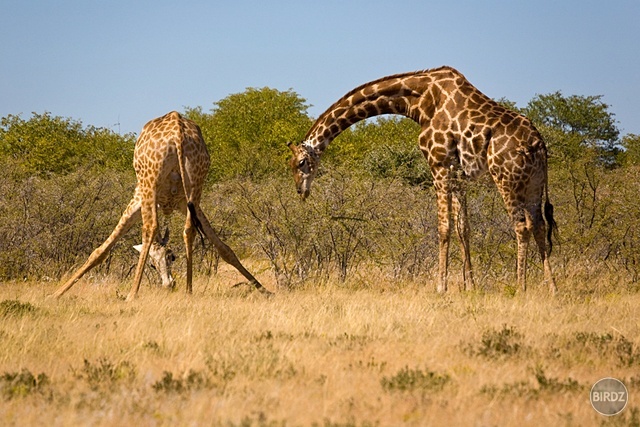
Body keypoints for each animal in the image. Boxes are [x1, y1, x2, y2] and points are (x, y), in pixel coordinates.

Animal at [52, 112, 268, 302]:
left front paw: (55, 294)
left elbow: (100, 250)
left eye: (170, 258)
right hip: (196, 186)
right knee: (189, 229)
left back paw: (132, 295)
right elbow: (224, 247)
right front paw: (264, 289)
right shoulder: (184, 203)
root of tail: (178, 132)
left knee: (150, 227)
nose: (169, 285)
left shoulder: (139, 198)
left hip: (150, 183)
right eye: (156, 264)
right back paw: (189, 291)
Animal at [288, 66, 556, 294]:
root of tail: (537, 144)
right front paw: (470, 286)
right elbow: (463, 228)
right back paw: (550, 287)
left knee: (521, 226)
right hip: (534, 182)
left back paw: (520, 287)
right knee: (539, 225)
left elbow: (443, 227)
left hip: (506, 178)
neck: (420, 102)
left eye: (300, 163)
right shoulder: (458, 173)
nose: (301, 191)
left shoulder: (438, 163)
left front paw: (441, 287)